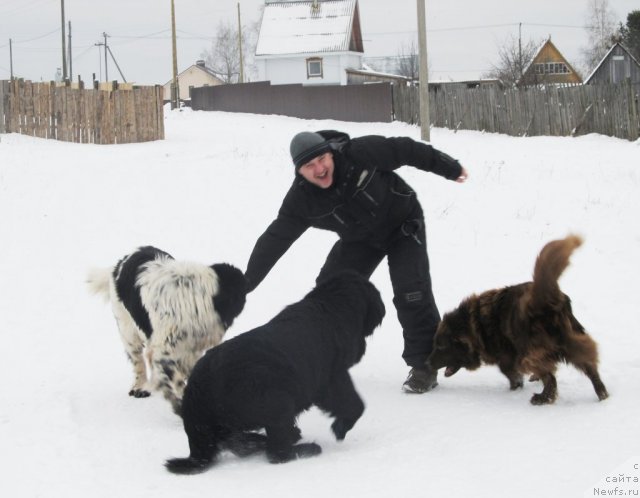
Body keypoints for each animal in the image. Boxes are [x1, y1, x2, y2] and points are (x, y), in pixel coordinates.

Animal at [89, 245, 248, 412]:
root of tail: (121, 261)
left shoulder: (189, 347)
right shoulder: (166, 348)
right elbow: (175, 377)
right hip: (128, 332)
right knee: (139, 362)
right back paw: (140, 387)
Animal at [165, 270, 384, 472]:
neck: (331, 306)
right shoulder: (333, 378)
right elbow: (355, 404)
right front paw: (341, 428)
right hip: (277, 402)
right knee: (278, 453)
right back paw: (307, 448)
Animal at [428, 234, 608, 404]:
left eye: (441, 347)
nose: (426, 364)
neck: (473, 324)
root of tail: (544, 299)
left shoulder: (507, 359)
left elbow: (513, 375)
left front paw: (515, 389)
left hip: (529, 353)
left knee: (550, 378)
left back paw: (543, 398)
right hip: (571, 342)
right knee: (590, 367)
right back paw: (602, 395)